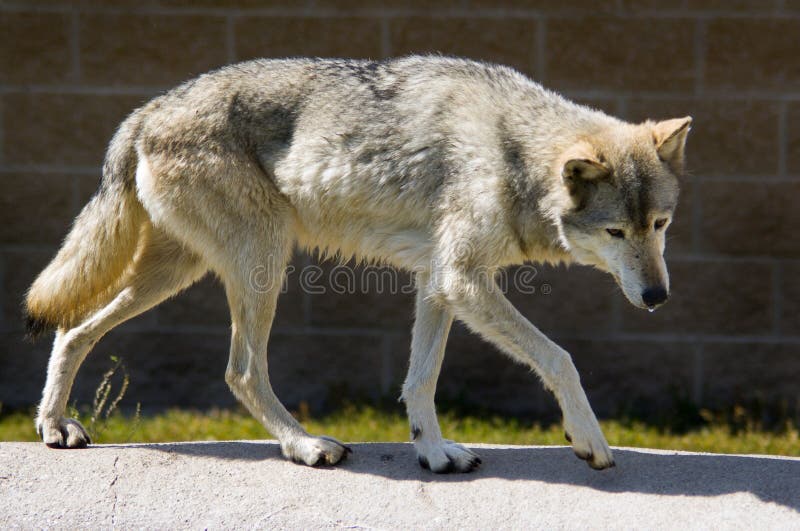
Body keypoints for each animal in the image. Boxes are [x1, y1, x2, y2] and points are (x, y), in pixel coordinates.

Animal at [25, 57, 688, 474]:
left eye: (660, 225)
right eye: (615, 232)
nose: (658, 298)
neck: (512, 153)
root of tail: (148, 109)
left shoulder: (439, 282)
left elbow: (420, 380)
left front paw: (434, 454)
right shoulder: (463, 279)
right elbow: (561, 358)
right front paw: (590, 440)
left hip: (176, 273)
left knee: (73, 329)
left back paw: (54, 426)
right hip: (262, 266)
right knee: (242, 372)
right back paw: (303, 446)